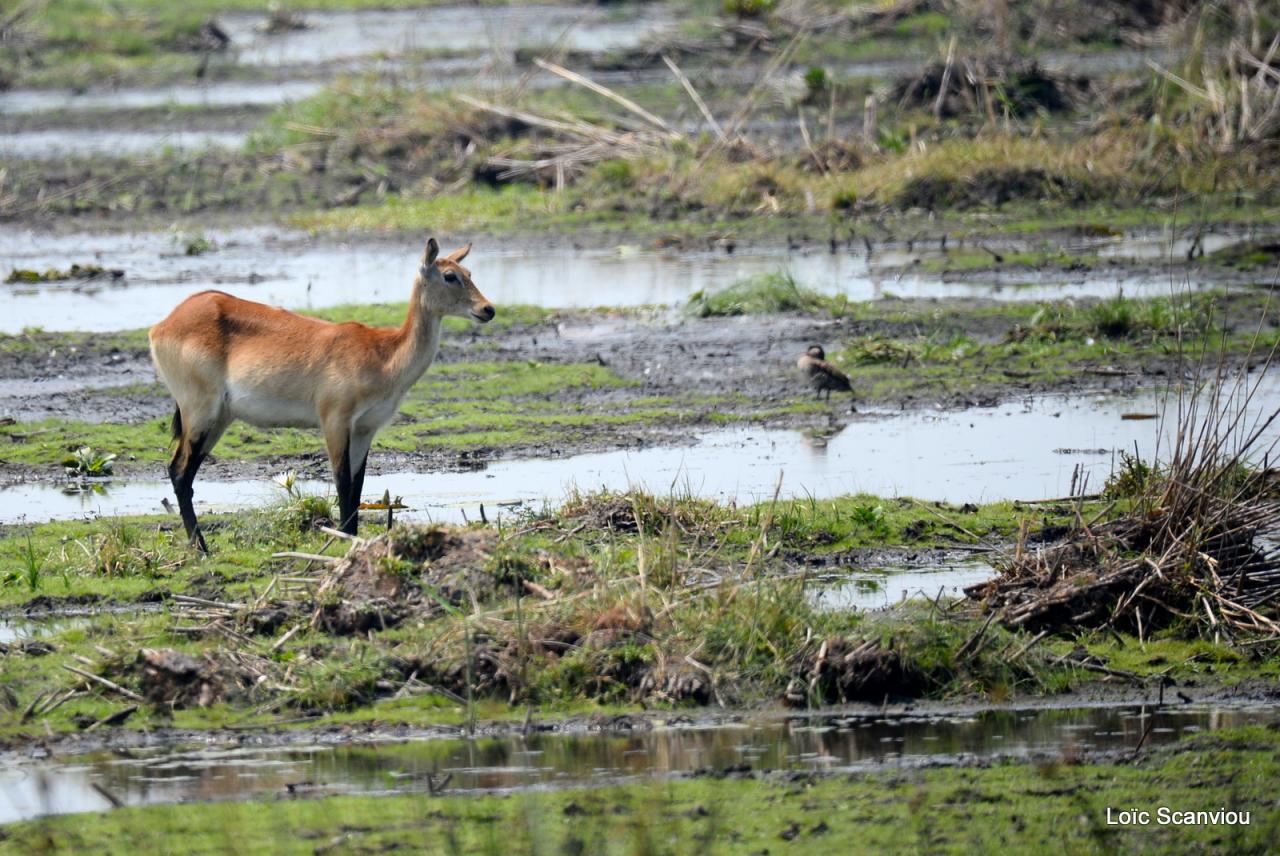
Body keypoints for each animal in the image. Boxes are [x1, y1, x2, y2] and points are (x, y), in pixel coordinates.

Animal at [147, 236, 491, 550]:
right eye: (450, 275)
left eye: (470, 272)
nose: (488, 309)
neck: (384, 354)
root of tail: (165, 323)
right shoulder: (335, 421)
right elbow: (341, 481)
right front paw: (343, 539)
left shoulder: (365, 429)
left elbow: (357, 486)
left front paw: (352, 538)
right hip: (200, 412)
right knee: (180, 472)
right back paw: (202, 549)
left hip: (220, 418)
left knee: (184, 473)